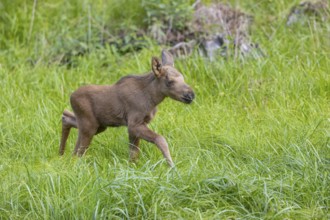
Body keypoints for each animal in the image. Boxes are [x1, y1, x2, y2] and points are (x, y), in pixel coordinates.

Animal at [59, 50, 195, 167]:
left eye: (183, 78)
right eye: (170, 81)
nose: (191, 95)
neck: (152, 98)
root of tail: (71, 96)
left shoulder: (139, 124)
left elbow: (134, 153)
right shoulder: (133, 124)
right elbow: (160, 139)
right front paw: (172, 165)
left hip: (98, 125)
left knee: (67, 119)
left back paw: (61, 153)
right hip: (90, 125)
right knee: (79, 150)